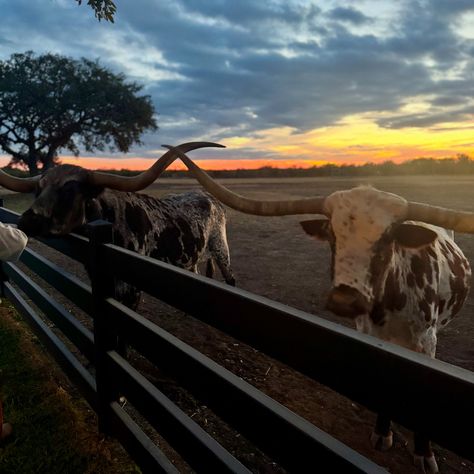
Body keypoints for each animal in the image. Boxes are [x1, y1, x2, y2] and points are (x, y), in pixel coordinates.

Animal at [0, 143, 235, 310]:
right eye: (38, 189)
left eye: (70, 189)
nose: (28, 220)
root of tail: (207, 196)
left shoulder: (130, 290)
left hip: (221, 250)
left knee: (230, 280)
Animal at [166, 145, 474, 474]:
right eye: (332, 234)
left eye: (388, 238)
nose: (345, 300)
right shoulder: (369, 334)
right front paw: (382, 433)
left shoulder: (426, 343)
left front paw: (424, 453)